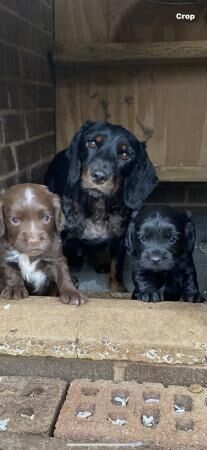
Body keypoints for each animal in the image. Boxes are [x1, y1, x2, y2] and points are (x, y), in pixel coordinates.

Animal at [45, 120, 158, 288]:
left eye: (125, 155)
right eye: (91, 143)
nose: (99, 176)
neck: (97, 204)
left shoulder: (120, 238)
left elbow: (116, 266)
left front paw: (118, 288)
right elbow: (62, 262)